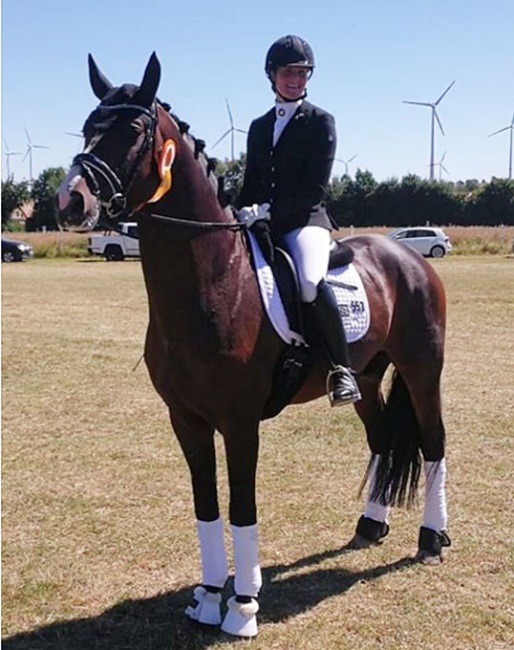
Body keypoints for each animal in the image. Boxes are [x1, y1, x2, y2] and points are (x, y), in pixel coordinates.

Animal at [56, 53, 448, 636]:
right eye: (87, 128)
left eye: (134, 131)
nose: (70, 200)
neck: (216, 280)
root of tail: (409, 257)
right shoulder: (186, 419)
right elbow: (206, 506)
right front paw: (206, 597)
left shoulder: (239, 422)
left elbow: (242, 507)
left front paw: (242, 607)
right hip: (368, 374)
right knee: (380, 437)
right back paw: (369, 525)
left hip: (423, 369)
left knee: (434, 442)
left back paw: (432, 539)